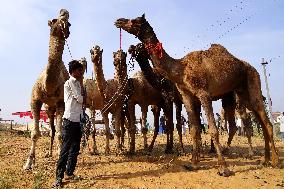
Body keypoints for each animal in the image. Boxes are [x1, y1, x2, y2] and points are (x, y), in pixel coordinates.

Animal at [23, 9, 71, 170]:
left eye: (69, 23)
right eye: (54, 20)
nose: (64, 12)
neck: (48, 86)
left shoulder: (61, 103)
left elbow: (61, 134)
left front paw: (60, 159)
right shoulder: (35, 101)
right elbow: (34, 133)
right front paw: (29, 163)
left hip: (55, 108)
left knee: (56, 131)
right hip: (49, 110)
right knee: (52, 130)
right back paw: (49, 153)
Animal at [115, 14, 280, 174]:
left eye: (135, 20)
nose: (118, 21)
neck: (180, 70)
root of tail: (251, 68)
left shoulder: (203, 93)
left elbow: (212, 129)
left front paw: (223, 168)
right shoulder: (186, 96)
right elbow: (194, 129)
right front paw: (193, 163)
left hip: (252, 81)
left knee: (264, 122)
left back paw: (274, 161)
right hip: (241, 93)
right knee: (258, 121)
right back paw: (265, 160)